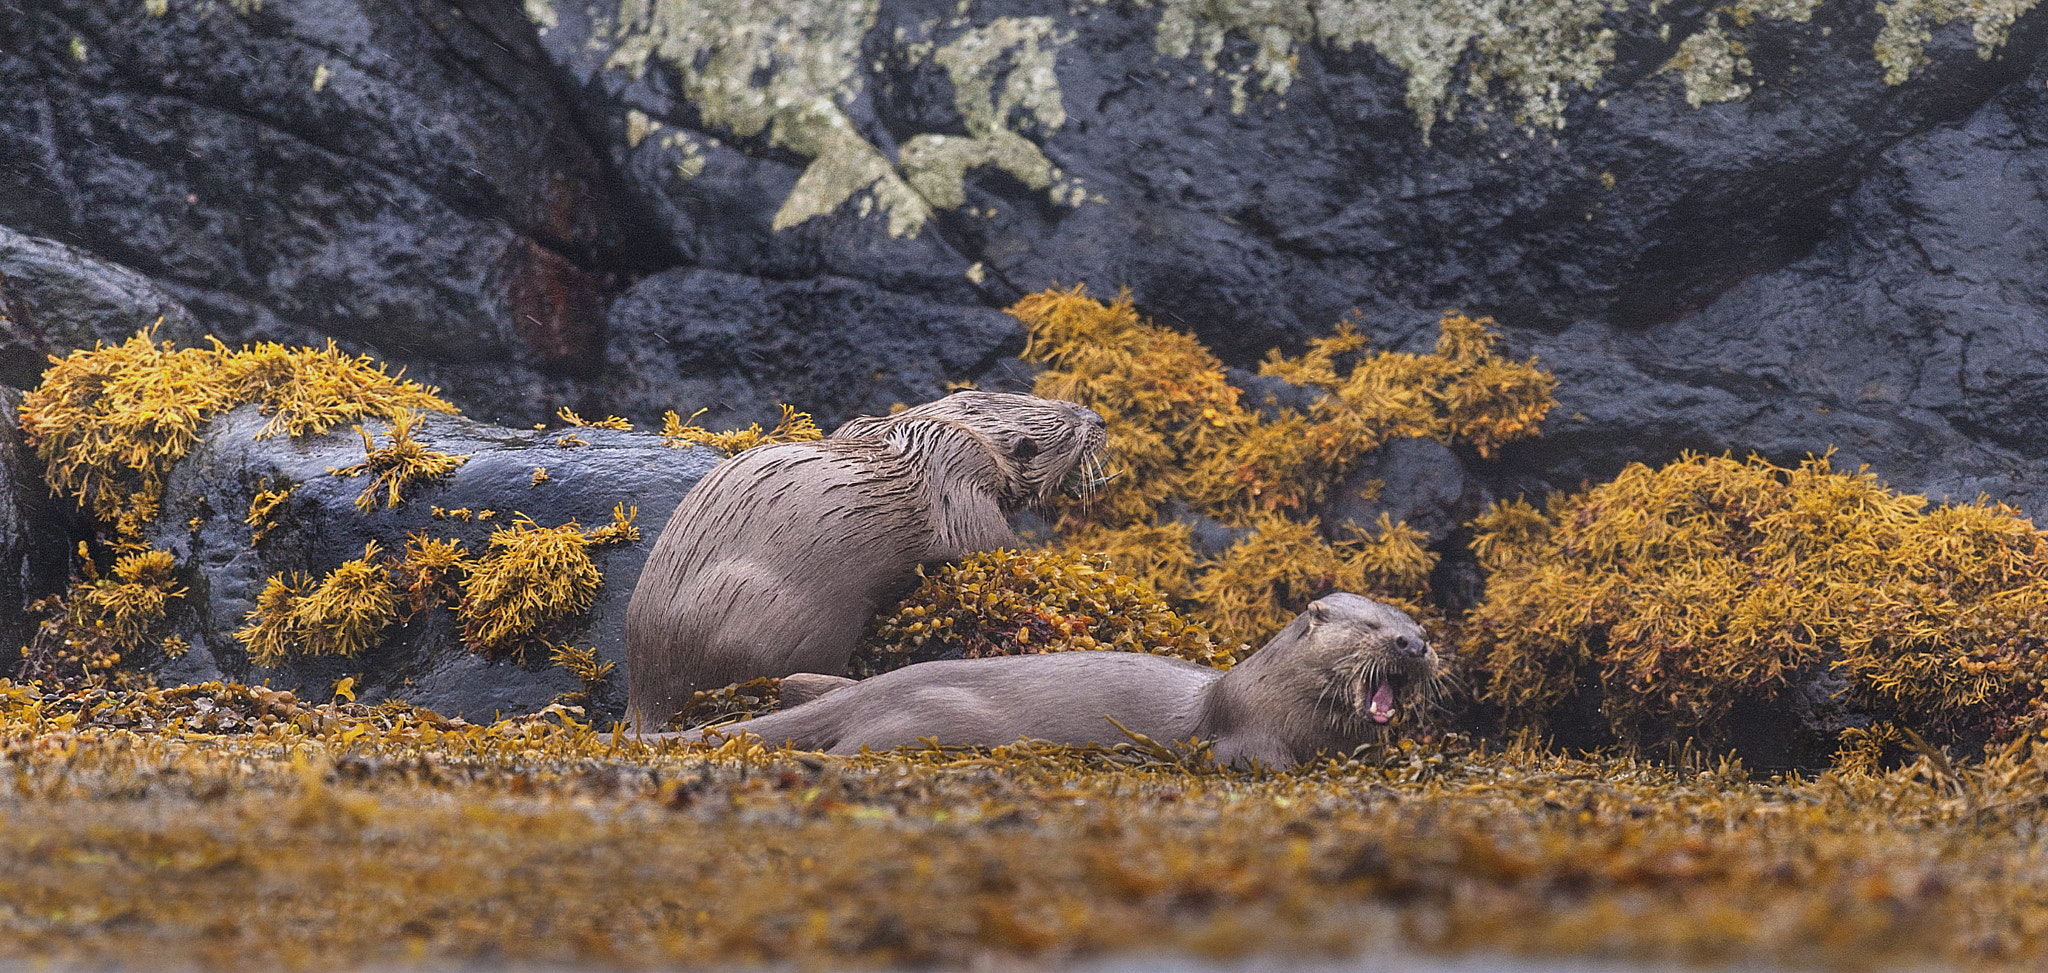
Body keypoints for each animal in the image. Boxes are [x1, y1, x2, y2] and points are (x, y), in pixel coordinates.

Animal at [618, 393, 1105, 733]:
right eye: (1073, 428)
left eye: (1063, 401)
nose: (1099, 419)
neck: (941, 434)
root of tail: (647, 692)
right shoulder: (964, 492)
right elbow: (995, 546)